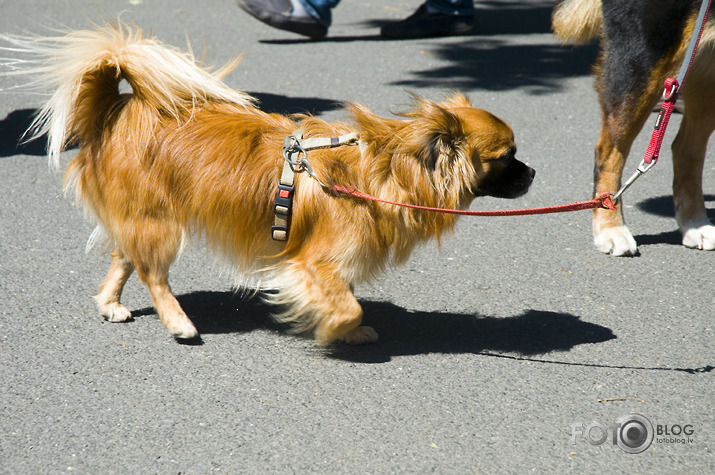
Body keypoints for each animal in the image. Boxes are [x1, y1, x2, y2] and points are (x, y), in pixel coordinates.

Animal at [4, 23, 532, 342]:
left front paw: (348, 330)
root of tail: (115, 110)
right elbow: (347, 305)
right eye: (506, 158)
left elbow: (347, 296)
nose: (533, 172)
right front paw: (337, 330)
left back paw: (110, 304)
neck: (388, 169)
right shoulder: (311, 262)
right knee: (153, 273)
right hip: (159, 223)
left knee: (124, 256)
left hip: (142, 217)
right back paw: (179, 322)